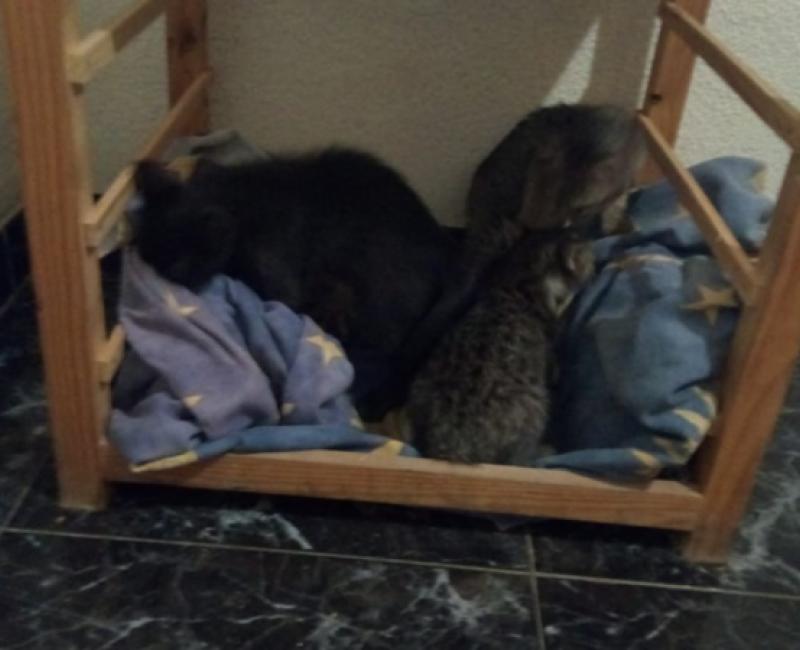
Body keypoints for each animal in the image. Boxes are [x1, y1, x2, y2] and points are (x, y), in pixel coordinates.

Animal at [407, 232, 595, 465]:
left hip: (421, 387)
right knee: (516, 460)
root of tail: (453, 445)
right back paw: (544, 451)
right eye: (577, 239)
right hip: (534, 407)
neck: (519, 283)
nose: (592, 248)